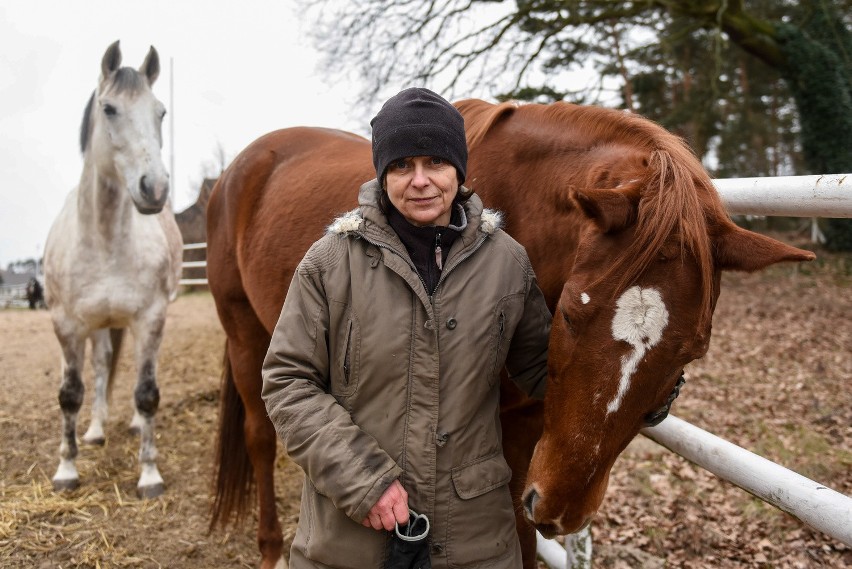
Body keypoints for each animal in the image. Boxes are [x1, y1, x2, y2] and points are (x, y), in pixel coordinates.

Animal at [43, 41, 183, 496]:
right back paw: (95, 430)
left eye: (160, 112)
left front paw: (149, 474)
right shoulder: (66, 324)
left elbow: (147, 392)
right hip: (97, 325)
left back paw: (133, 425)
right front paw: (66, 469)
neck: (105, 242)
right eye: (109, 109)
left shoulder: (151, 318)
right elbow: (70, 393)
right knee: (102, 367)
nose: (154, 188)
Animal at [206, 100, 812, 564]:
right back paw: (270, 547)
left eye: (692, 352)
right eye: (567, 315)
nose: (560, 511)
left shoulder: (523, 439)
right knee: (261, 436)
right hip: (244, 333)